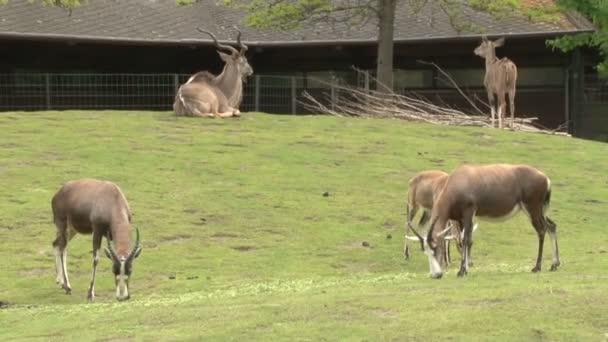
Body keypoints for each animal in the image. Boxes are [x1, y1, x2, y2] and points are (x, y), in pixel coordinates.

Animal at [408, 164, 560, 280]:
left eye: (435, 248)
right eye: (426, 251)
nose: (436, 275)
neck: (459, 180)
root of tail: (545, 178)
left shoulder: (469, 213)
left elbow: (466, 240)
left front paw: (461, 271)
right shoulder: (460, 219)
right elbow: (463, 241)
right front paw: (465, 269)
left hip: (532, 210)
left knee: (541, 230)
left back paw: (537, 267)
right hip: (539, 212)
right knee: (551, 226)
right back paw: (554, 264)